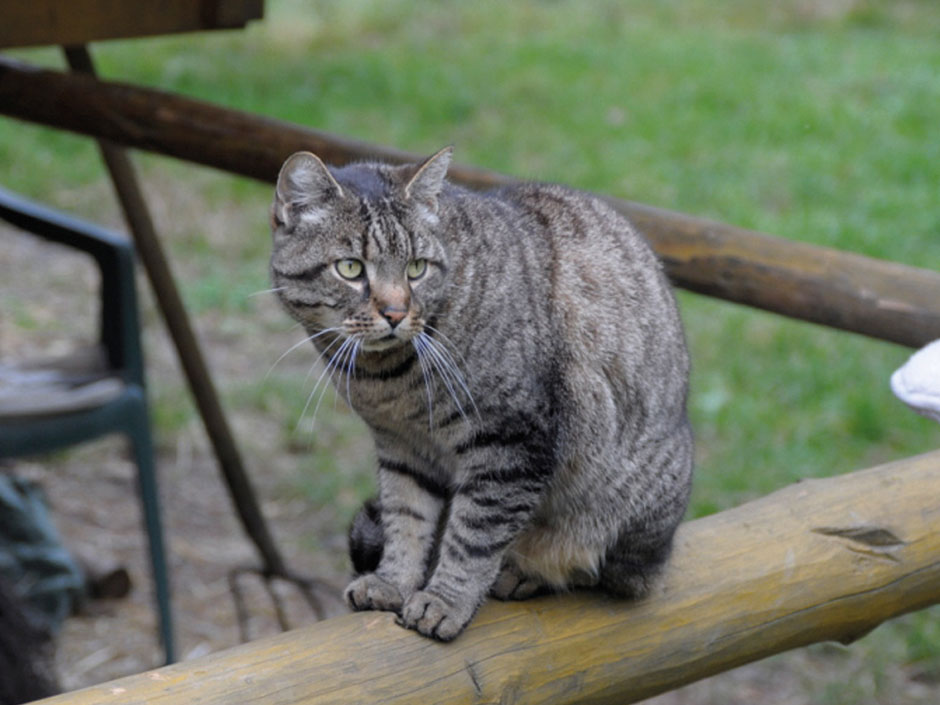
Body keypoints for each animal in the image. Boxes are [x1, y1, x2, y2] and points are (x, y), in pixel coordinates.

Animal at [268, 146, 692, 640]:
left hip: (625, 506)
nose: (395, 313)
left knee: (600, 572)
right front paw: (394, 581)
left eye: (416, 268)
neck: (386, 381)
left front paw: (444, 601)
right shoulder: (402, 446)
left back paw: (523, 572)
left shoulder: (512, 442)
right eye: (351, 268)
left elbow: (473, 537)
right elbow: (406, 519)